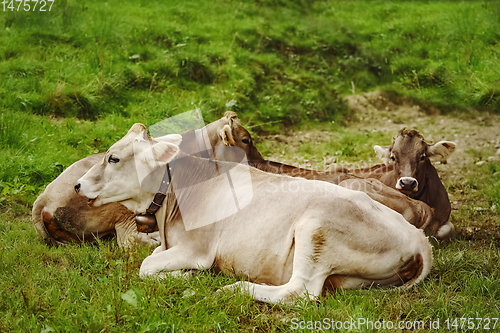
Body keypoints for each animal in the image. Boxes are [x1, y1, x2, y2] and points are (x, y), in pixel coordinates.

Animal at [75, 122, 434, 304]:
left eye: (113, 158)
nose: (77, 185)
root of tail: (419, 239)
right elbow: (150, 261)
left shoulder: (197, 249)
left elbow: (146, 267)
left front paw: (190, 276)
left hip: (316, 228)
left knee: (300, 292)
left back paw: (236, 288)